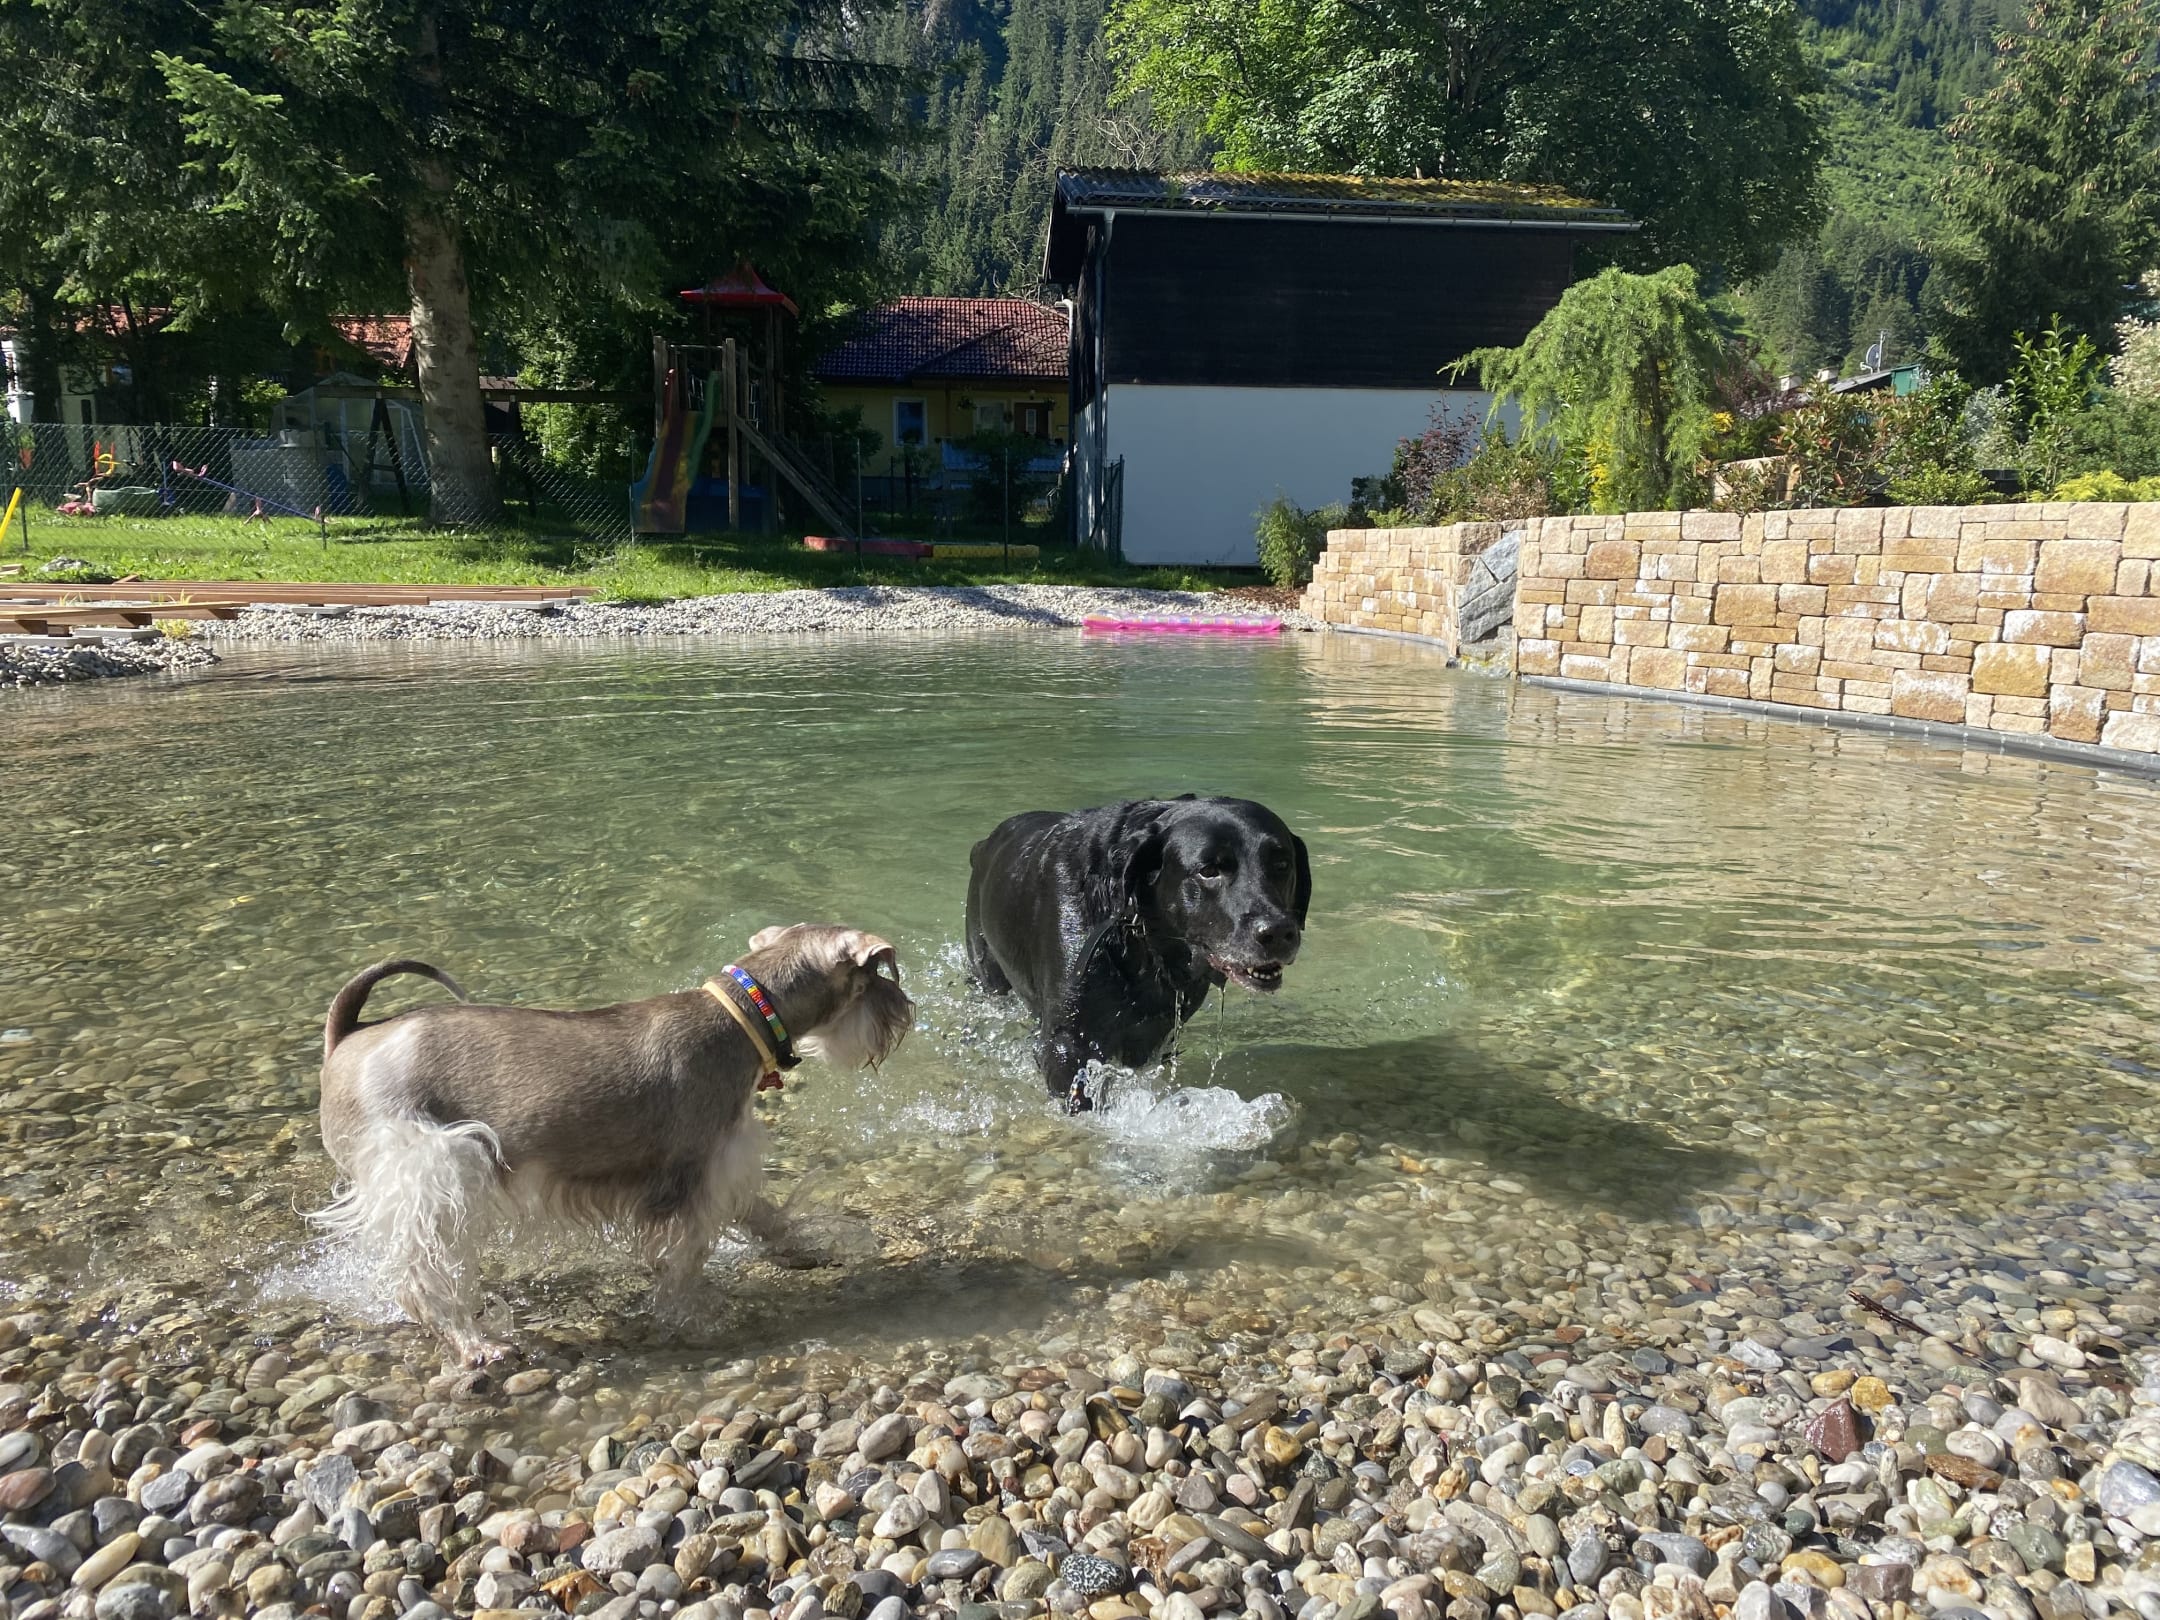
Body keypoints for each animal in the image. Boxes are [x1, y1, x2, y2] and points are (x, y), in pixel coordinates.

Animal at [313, 924, 912, 1365]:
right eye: (876, 975)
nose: (905, 1007)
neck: (744, 1019)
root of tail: (345, 1037)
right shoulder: (688, 1181)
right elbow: (683, 1264)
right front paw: (694, 1320)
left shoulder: (724, 1165)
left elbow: (763, 1214)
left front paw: (803, 1250)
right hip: (433, 1172)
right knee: (424, 1278)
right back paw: (478, 1344)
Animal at [965, 796, 1310, 1110]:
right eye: (1209, 870)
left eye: (1281, 865)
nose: (1278, 931)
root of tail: (983, 845)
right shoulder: (1067, 1045)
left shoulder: (1157, 1035)